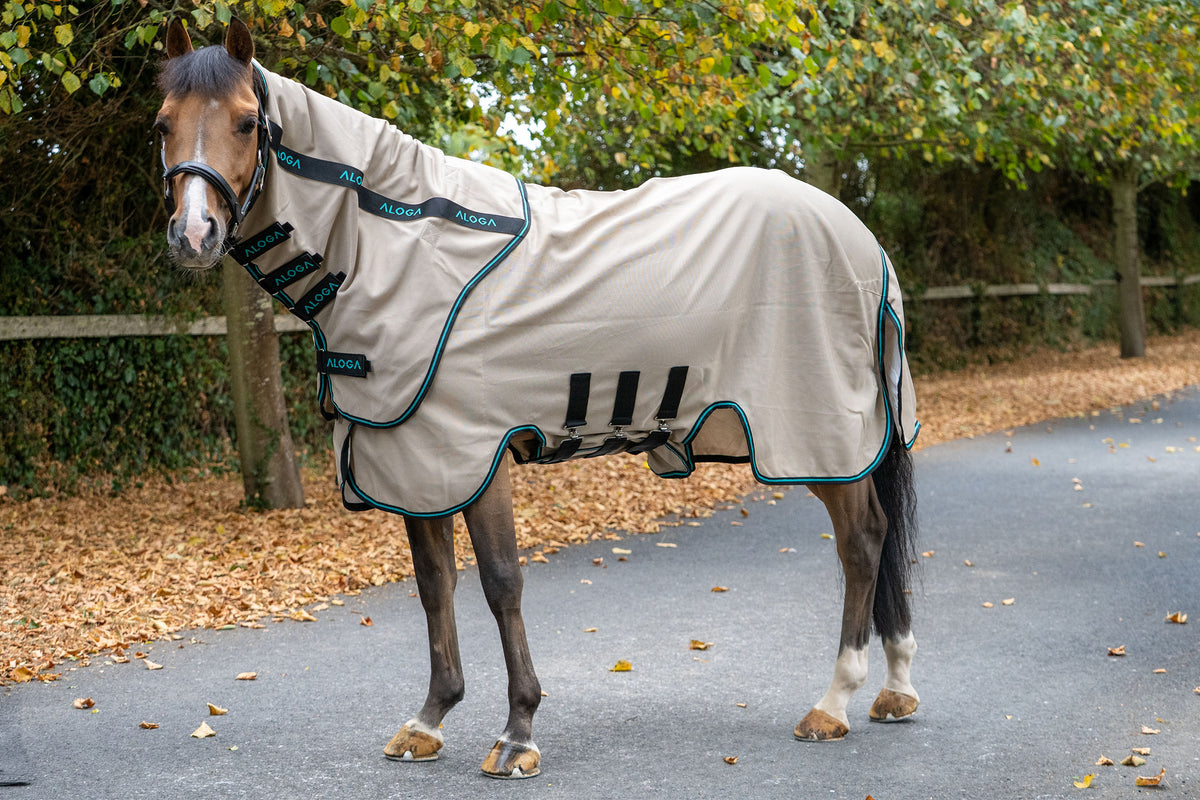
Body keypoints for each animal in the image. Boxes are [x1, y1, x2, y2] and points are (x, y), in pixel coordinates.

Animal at [155, 18, 922, 779]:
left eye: (247, 121)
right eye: (163, 123)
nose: (194, 235)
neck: (409, 247)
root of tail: (864, 243)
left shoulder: (479, 455)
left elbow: (501, 583)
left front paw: (517, 733)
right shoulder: (418, 464)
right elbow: (435, 584)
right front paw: (429, 720)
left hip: (817, 437)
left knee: (863, 541)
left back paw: (835, 702)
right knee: (879, 539)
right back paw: (895, 689)